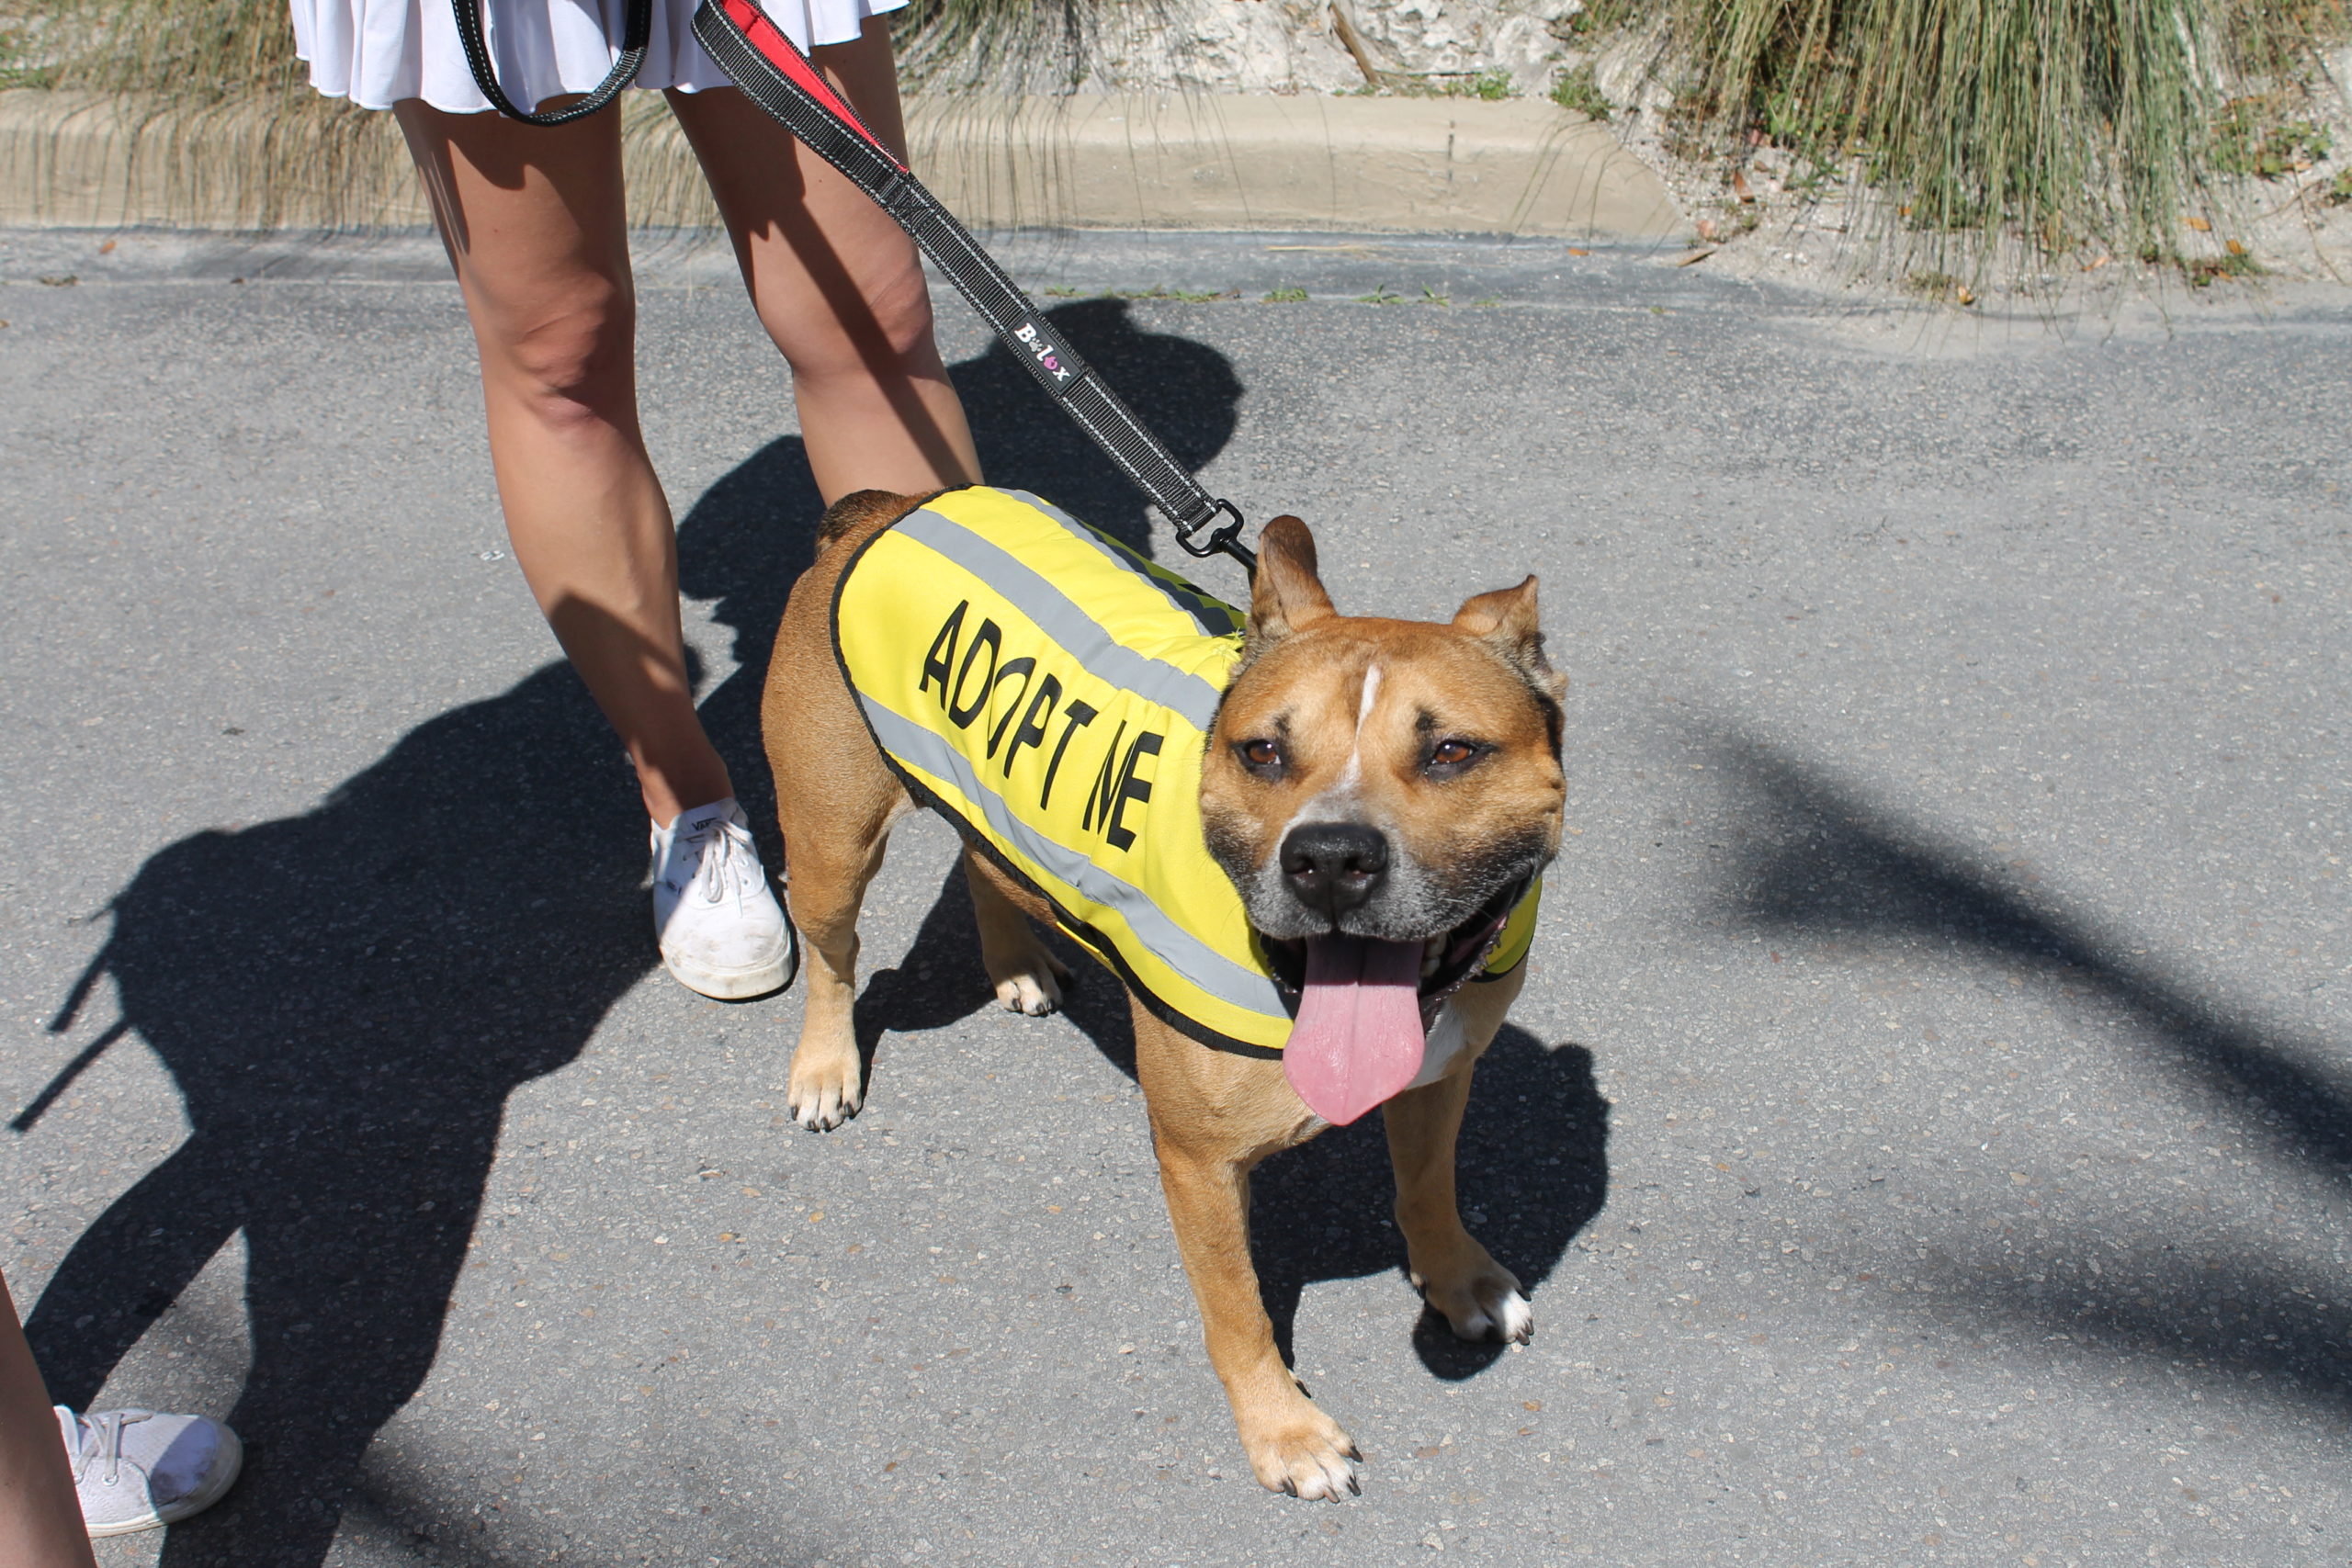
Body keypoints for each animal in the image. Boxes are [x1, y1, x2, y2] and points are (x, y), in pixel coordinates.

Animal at [766, 491, 1561, 1495]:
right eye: (1262, 753)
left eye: (1454, 751)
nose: (1329, 858)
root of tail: (890, 508)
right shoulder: (1199, 1165)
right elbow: (1239, 1310)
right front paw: (1283, 1432)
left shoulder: (1438, 1078)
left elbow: (1428, 1189)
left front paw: (1458, 1280)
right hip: (830, 846)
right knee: (833, 957)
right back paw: (824, 1068)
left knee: (984, 859)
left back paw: (1015, 966)